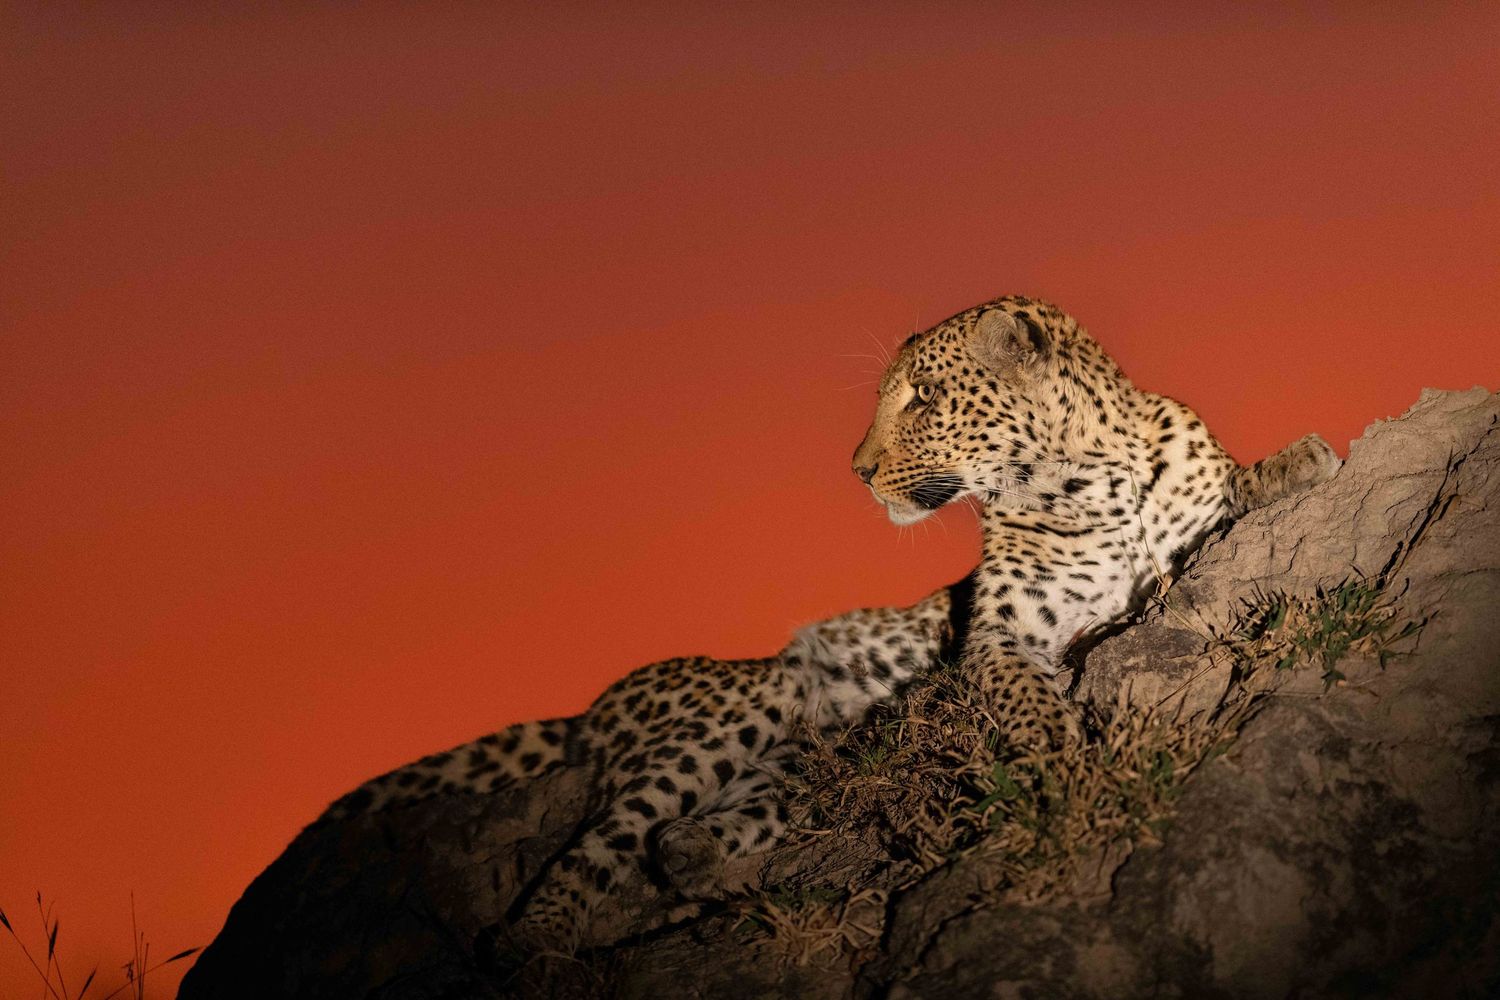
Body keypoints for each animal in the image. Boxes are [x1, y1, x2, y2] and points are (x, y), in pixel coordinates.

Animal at [851, 293, 1342, 748]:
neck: (1090, 488)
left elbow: (1235, 485)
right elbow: (1014, 677)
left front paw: (1298, 461)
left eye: (924, 394)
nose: (859, 470)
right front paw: (1049, 739)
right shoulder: (1003, 622)